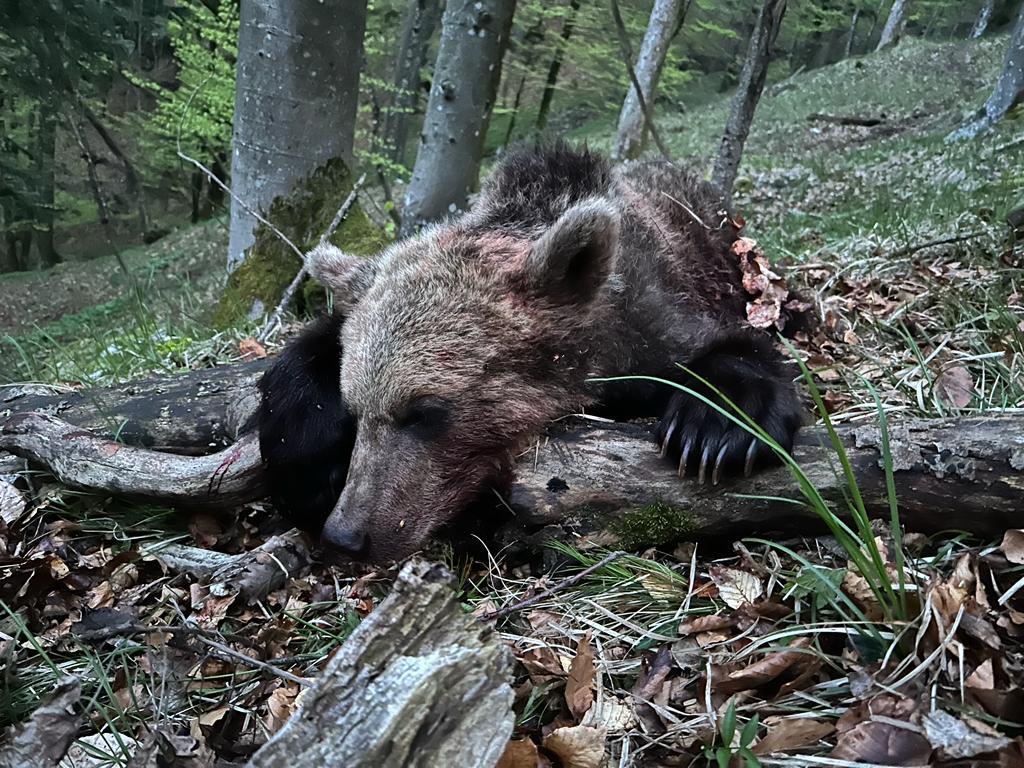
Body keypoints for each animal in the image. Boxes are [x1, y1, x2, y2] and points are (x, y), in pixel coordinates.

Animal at [257, 144, 804, 562]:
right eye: (356, 410)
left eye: (424, 411)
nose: (346, 536)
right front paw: (304, 463)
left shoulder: (657, 318)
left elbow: (732, 351)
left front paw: (715, 429)